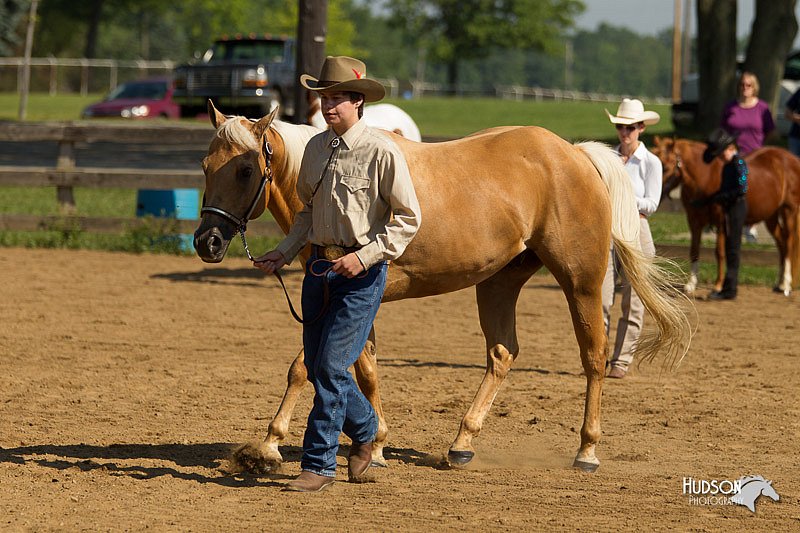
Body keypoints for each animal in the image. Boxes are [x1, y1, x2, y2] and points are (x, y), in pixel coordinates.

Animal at [195, 101, 692, 474]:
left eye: (244, 170)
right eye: (205, 165)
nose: (208, 241)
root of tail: (574, 154)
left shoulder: (355, 296)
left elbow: (308, 366)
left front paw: (267, 447)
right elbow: (361, 369)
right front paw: (376, 445)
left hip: (582, 281)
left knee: (593, 357)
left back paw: (587, 450)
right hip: (499, 282)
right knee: (502, 353)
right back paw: (462, 443)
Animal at [648, 136, 800, 296]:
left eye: (665, 167)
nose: (656, 196)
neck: (706, 179)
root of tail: (793, 159)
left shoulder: (720, 222)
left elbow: (719, 252)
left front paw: (718, 285)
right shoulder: (694, 222)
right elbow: (694, 250)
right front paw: (691, 284)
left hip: (789, 211)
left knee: (788, 243)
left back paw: (787, 285)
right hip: (770, 216)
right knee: (782, 244)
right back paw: (780, 284)